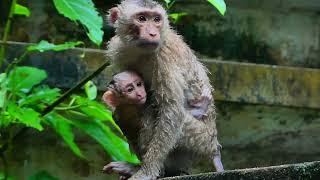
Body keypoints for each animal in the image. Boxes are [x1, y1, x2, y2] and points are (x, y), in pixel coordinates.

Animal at [106, 0, 224, 179]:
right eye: (141, 18)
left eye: (156, 19)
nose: (153, 33)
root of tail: (214, 147)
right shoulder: (119, 50)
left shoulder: (164, 58)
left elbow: (171, 110)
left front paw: (147, 171)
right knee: (124, 112)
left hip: (199, 139)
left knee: (152, 111)